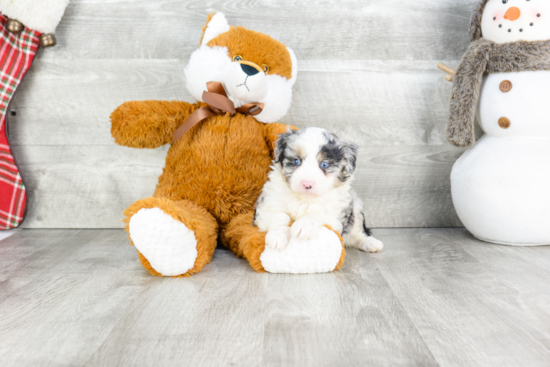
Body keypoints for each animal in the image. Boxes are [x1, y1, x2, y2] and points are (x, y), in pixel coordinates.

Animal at [254, 127, 384, 253]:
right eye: (296, 161)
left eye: (324, 165)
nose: (307, 184)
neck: (304, 199)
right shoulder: (266, 207)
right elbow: (279, 216)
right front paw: (277, 237)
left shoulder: (335, 217)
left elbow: (317, 214)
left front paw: (303, 226)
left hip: (356, 206)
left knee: (355, 235)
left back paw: (370, 243)